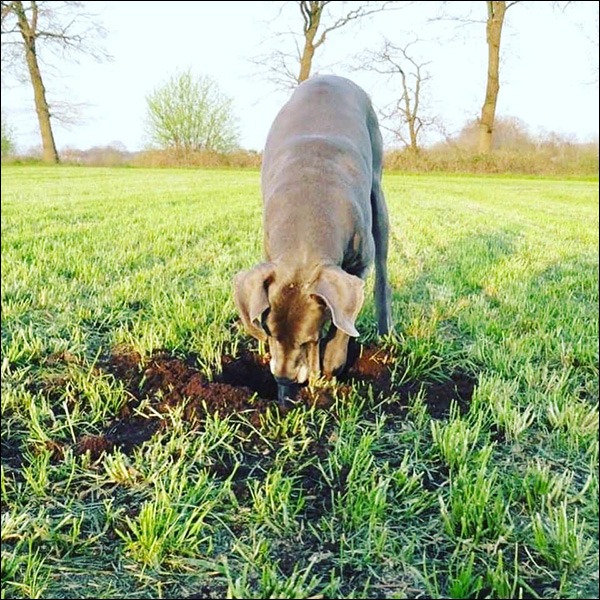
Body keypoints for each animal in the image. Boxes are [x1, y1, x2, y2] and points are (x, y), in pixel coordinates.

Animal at [232, 75, 392, 404]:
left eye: (308, 339)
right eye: (269, 333)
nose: (283, 379)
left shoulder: (358, 265)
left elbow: (344, 323)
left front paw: (331, 364)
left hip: (378, 189)